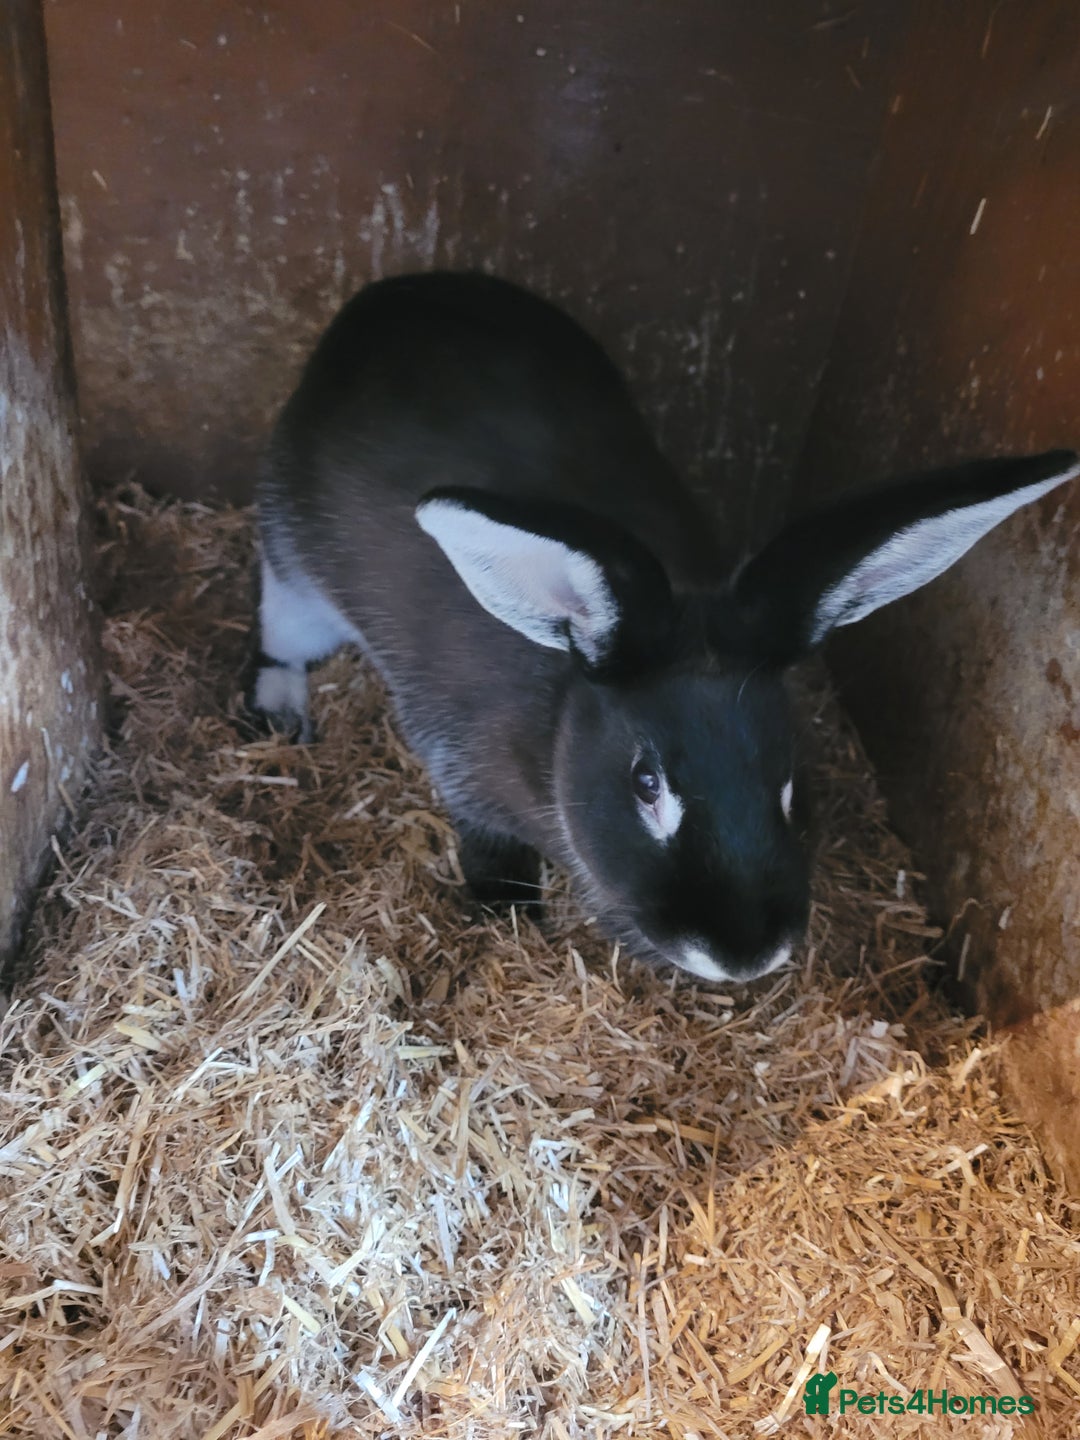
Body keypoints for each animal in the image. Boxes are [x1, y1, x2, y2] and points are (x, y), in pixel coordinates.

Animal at [249, 270, 1078, 984]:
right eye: (646, 783)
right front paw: (508, 913)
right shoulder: (460, 761)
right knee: (278, 639)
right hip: (296, 579)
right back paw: (280, 713)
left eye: (789, 776)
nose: (746, 955)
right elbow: (485, 838)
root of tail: (392, 296)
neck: (562, 719)